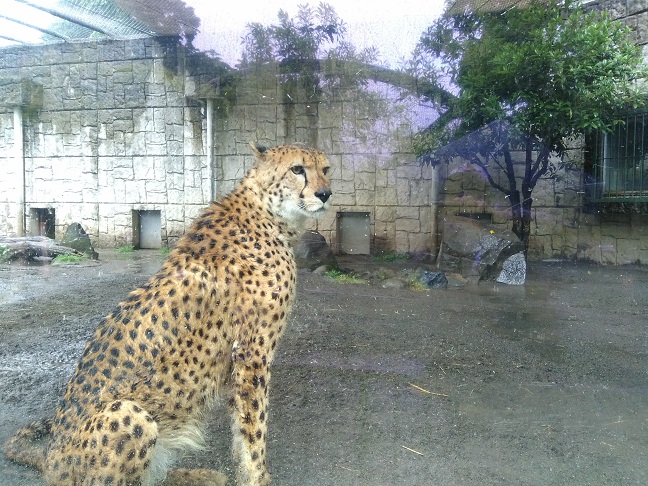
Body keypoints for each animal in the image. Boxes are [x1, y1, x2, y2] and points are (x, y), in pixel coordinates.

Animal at [3, 142, 332, 485]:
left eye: (326, 169)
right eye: (297, 169)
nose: (325, 194)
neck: (269, 212)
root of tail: (51, 459)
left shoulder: (236, 361)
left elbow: (240, 426)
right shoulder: (251, 353)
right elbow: (254, 427)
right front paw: (258, 477)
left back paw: (198, 475)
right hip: (128, 413)